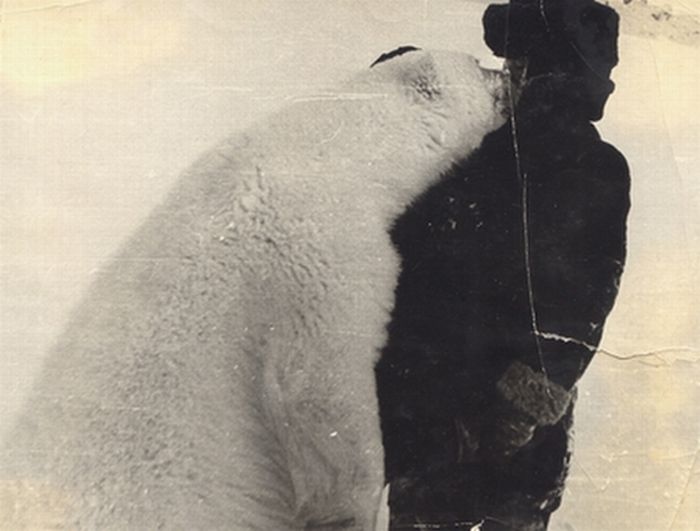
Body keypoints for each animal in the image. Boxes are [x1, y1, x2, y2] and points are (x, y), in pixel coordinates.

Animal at [0, 50, 504, 531]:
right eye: (478, 65)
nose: (506, 76)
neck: (319, 147)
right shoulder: (316, 251)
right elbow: (318, 390)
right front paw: (353, 508)